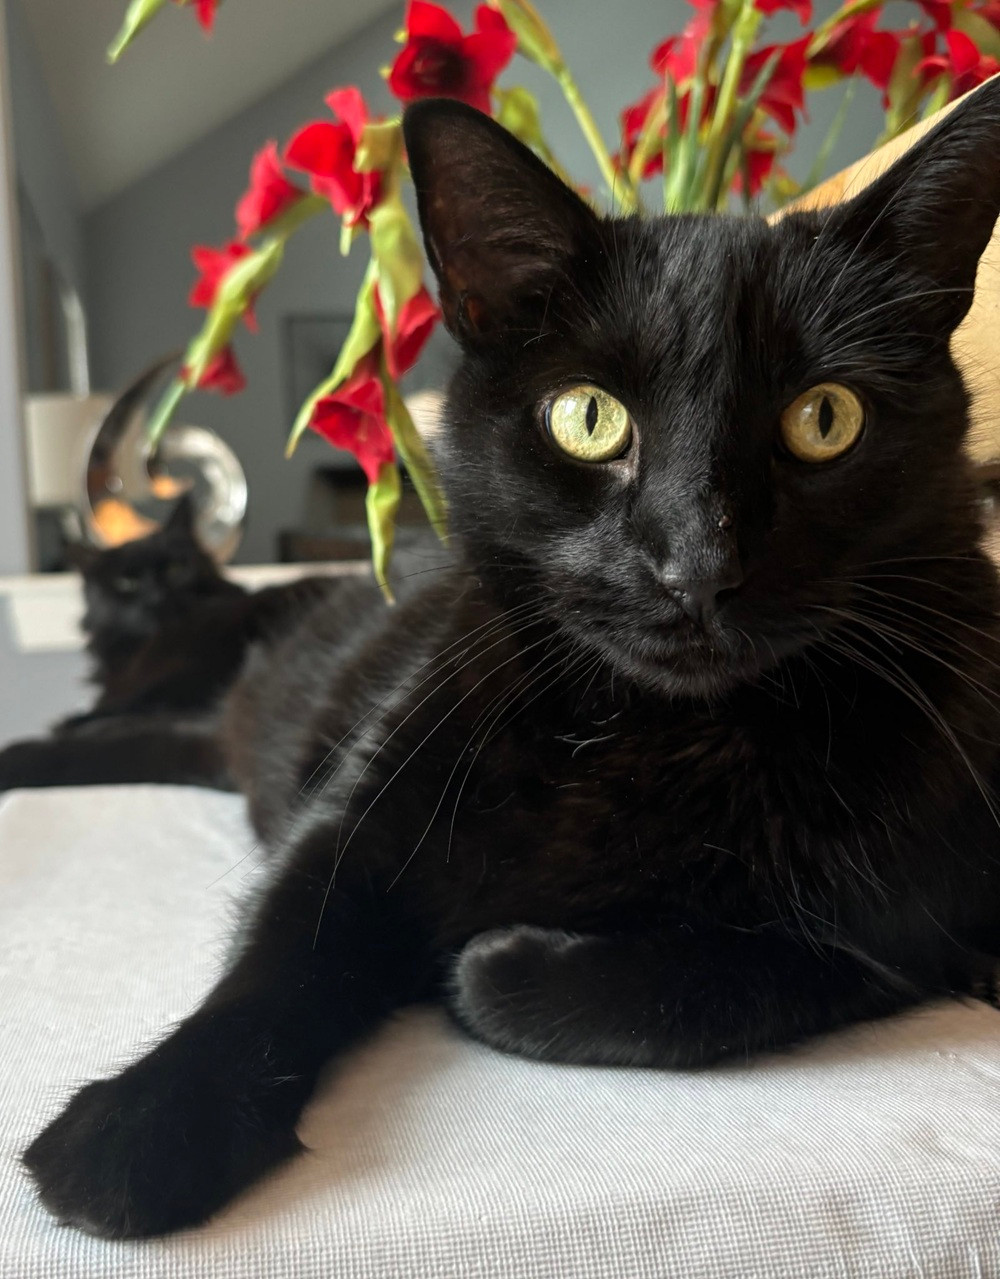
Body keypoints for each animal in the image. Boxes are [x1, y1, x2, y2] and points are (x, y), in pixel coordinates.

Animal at [16, 80, 1000, 1239]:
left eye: (826, 419)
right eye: (587, 418)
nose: (696, 563)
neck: (654, 738)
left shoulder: (907, 932)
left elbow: (713, 984)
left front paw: (493, 961)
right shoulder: (356, 816)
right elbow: (274, 956)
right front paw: (144, 1124)